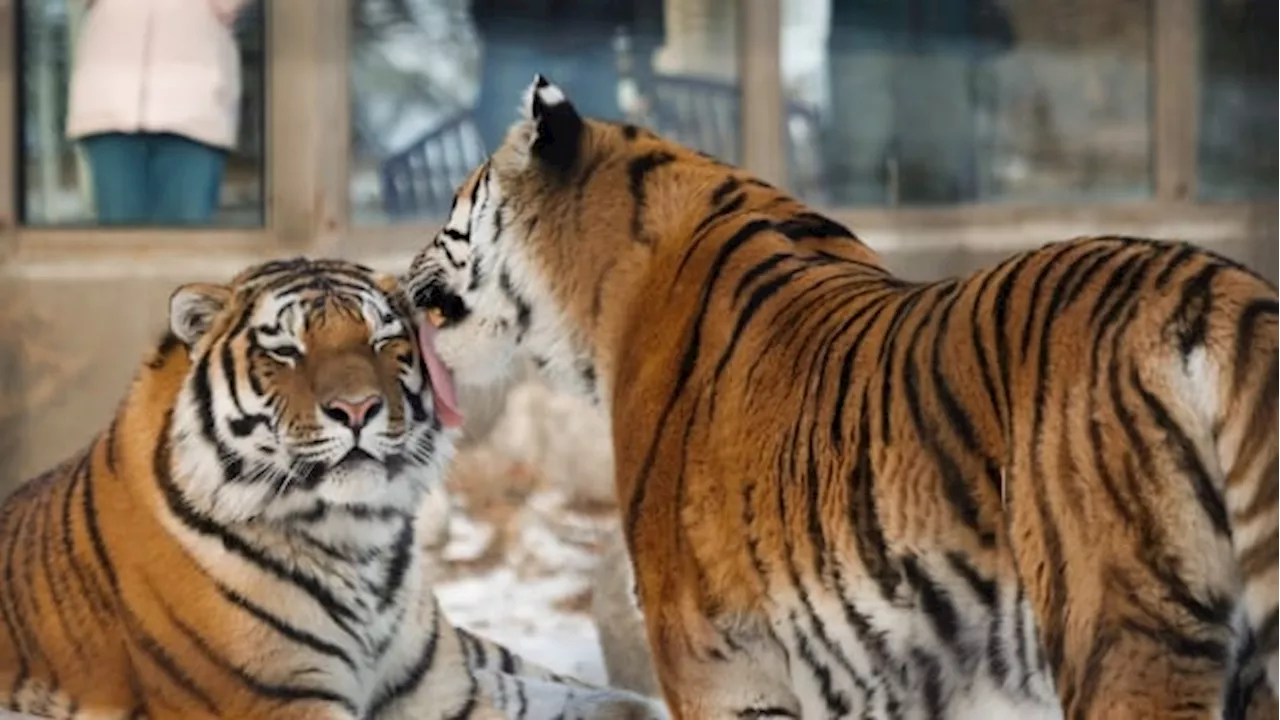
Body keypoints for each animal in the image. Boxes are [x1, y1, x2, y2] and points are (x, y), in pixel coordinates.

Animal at [0, 256, 665, 717]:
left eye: (382, 341)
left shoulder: (439, 688)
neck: (354, 536)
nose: (357, 409)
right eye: (285, 351)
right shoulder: (273, 699)